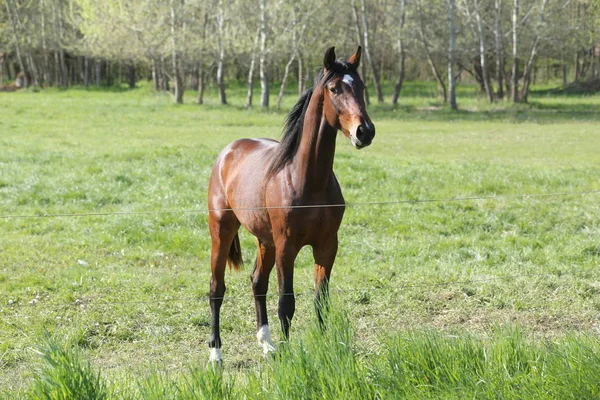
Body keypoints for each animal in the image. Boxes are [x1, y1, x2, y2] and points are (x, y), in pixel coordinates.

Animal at [209, 45, 372, 360]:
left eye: (361, 86)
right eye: (334, 88)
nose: (365, 131)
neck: (307, 179)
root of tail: (228, 152)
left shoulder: (326, 245)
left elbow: (321, 299)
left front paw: (320, 346)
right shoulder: (287, 246)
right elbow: (287, 302)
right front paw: (288, 356)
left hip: (265, 240)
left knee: (257, 281)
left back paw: (267, 343)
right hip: (222, 230)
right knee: (216, 288)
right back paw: (216, 354)